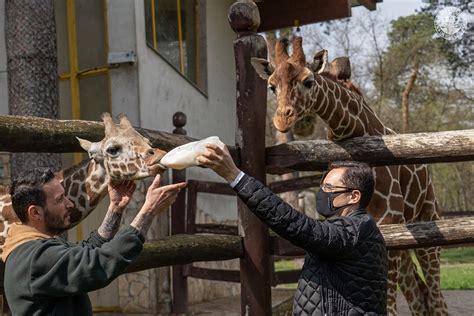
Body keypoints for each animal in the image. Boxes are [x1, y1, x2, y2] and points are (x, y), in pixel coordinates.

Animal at [252, 37, 448, 316]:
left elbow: (388, 305)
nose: (281, 119)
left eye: (308, 81)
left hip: (427, 222)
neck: (354, 129)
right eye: (271, 86)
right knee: (420, 296)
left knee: (436, 296)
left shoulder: (390, 221)